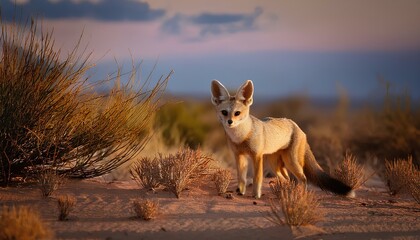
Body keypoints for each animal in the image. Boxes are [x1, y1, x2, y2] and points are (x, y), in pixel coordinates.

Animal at [210, 80, 354, 199]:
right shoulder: (239, 155)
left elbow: (257, 178)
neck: (241, 137)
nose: (229, 122)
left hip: (291, 162)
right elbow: (241, 178)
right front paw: (240, 192)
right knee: (287, 179)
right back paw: (287, 193)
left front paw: (256, 195)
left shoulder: (257, 156)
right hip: (275, 165)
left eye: (237, 113)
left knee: (303, 178)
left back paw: (300, 196)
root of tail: (295, 125)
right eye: (224, 112)